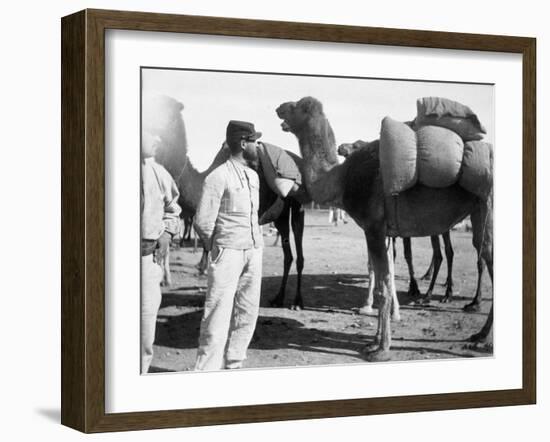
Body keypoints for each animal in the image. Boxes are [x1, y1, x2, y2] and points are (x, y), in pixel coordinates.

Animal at [276, 96, 496, 362]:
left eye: (296, 106)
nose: (279, 108)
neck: (341, 179)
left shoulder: (373, 228)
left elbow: (382, 289)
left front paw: (381, 350)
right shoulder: (382, 233)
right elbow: (386, 282)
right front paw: (374, 342)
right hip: (479, 210)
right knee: (483, 251)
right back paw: (479, 335)